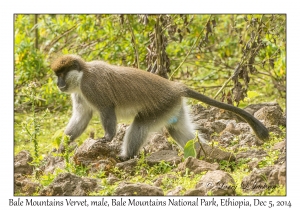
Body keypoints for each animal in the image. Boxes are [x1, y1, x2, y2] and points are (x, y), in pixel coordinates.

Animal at [51, 55, 270, 158]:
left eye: (61, 75)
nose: (58, 84)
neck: (82, 74)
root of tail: (175, 87)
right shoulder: (80, 93)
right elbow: (82, 117)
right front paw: (62, 147)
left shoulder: (91, 87)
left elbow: (107, 109)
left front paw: (107, 138)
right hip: (173, 107)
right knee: (177, 130)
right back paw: (206, 154)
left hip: (162, 105)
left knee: (140, 124)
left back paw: (126, 157)